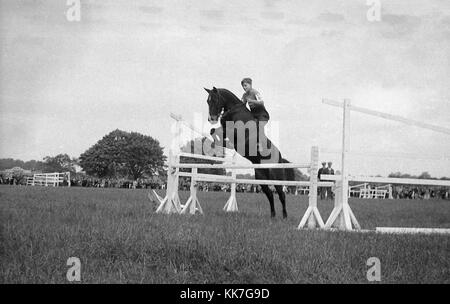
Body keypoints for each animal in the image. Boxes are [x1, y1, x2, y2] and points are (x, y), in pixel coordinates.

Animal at [204, 86, 296, 217]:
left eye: (215, 100)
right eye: (208, 101)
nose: (211, 118)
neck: (234, 111)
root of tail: (280, 158)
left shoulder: (238, 133)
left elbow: (225, 131)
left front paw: (226, 144)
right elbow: (213, 130)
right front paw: (220, 142)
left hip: (275, 176)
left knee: (281, 195)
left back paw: (284, 216)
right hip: (261, 178)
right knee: (270, 194)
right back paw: (273, 215)